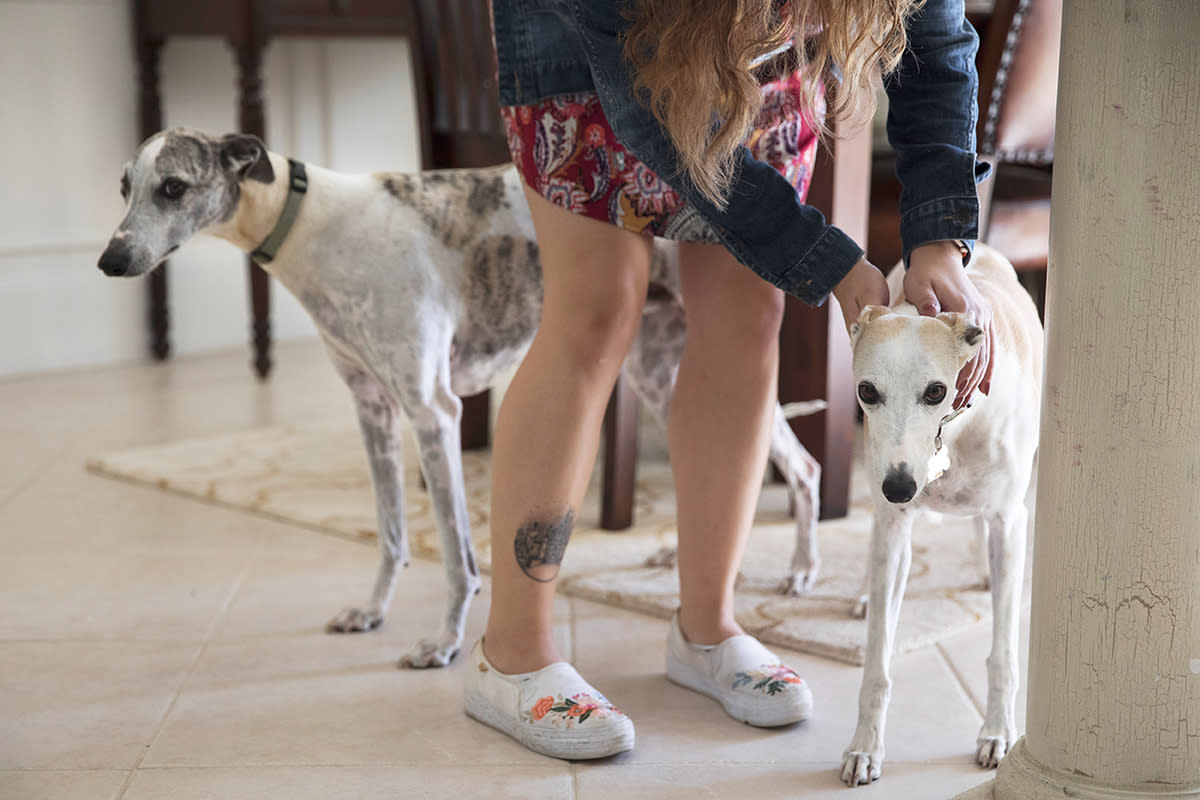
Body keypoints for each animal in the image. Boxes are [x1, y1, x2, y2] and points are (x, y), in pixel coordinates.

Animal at [96, 130, 825, 671]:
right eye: (125, 187)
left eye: (173, 186)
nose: (110, 260)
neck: (311, 224)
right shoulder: (373, 410)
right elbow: (392, 532)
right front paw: (372, 613)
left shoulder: (433, 413)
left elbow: (456, 553)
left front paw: (444, 643)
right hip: (657, 370)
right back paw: (682, 556)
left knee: (805, 465)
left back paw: (801, 573)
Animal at [835, 242, 1041, 782]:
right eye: (867, 391)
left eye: (936, 390)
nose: (900, 487)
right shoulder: (893, 525)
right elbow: (877, 662)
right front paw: (864, 748)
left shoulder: (1010, 522)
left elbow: (1004, 654)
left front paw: (997, 733)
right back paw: (864, 593)